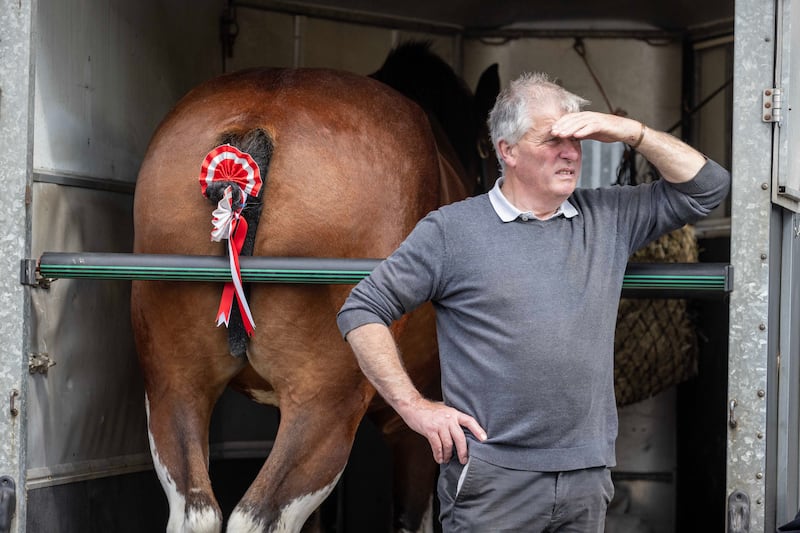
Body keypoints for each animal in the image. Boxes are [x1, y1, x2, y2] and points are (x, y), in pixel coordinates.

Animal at [131, 48, 500, 532]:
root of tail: (258, 124)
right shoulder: (422, 425)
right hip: (323, 407)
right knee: (260, 515)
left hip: (175, 388)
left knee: (197, 510)